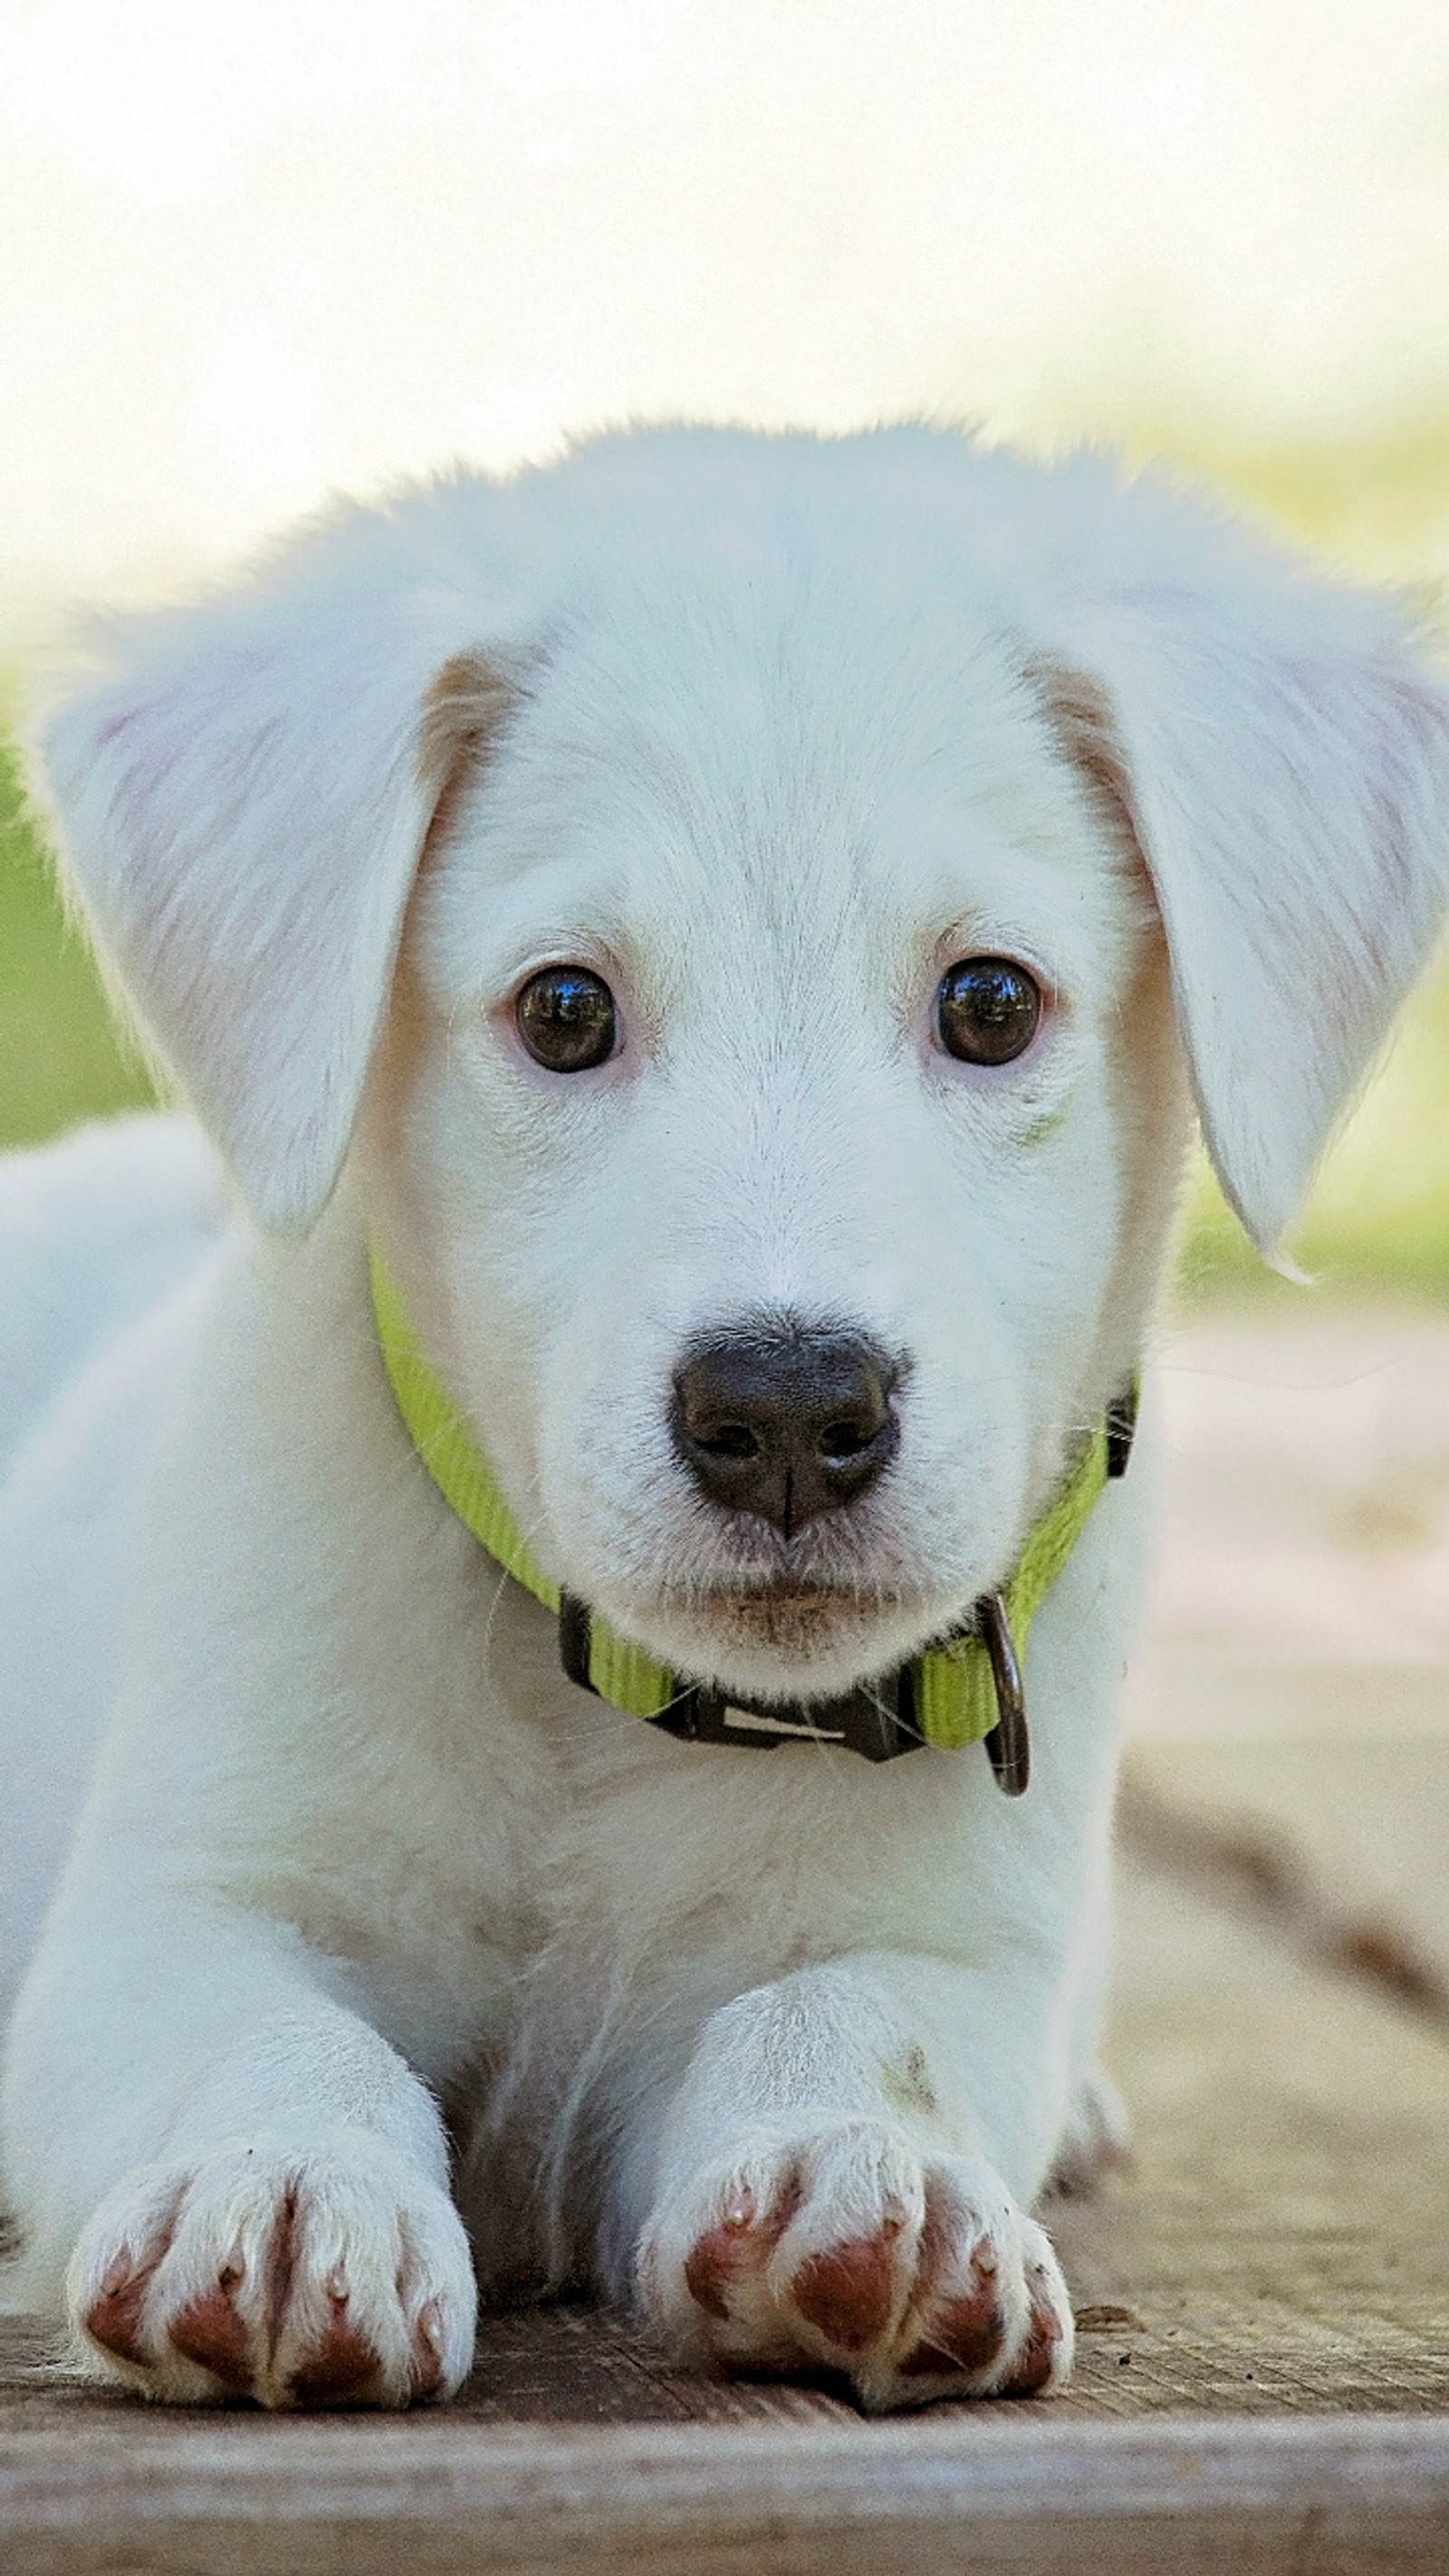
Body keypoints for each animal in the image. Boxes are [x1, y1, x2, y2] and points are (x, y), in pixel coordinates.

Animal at [3, 428, 1449, 2410]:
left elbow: (842, 2012)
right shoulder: (176, 1909)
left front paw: (871, 2169)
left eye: (989, 1001)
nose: (783, 1407)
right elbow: (265, 2032)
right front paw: (279, 2183)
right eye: (563, 1009)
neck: (610, 1719)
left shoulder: (951, 1946)